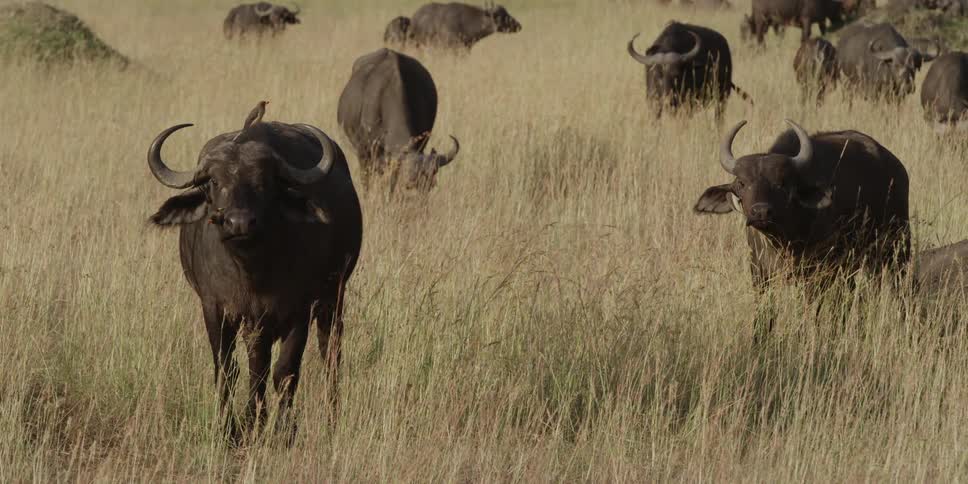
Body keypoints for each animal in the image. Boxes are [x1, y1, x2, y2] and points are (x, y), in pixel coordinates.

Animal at [147, 106, 362, 442]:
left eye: (264, 182)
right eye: (214, 182)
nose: (239, 223)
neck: (253, 272)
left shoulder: (299, 310)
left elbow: (285, 371)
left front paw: (283, 430)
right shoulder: (216, 308)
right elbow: (228, 369)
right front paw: (232, 428)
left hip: (333, 299)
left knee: (330, 354)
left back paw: (329, 418)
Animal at [694, 120, 911, 297]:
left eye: (782, 183)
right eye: (741, 183)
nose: (761, 212)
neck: (782, 241)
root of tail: (896, 168)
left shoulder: (818, 275)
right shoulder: (760, 275)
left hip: (897, 248)